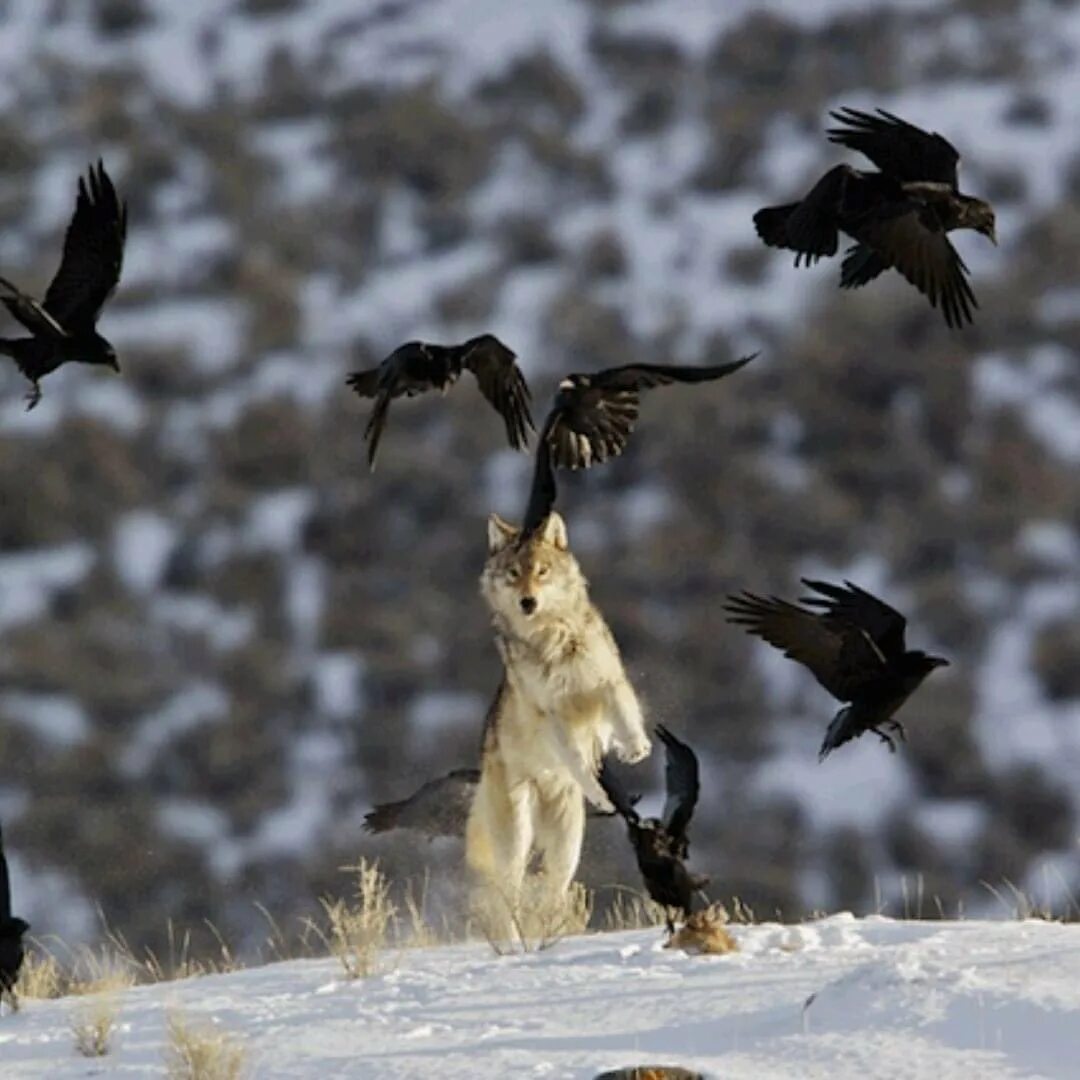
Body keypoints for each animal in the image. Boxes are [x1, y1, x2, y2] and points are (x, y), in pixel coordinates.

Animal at [464, 509, 648, 924]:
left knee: (555, 887)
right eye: (514, 573)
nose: (527, 602)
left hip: (567, 842)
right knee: (506, 897)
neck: (556, 638)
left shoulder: (607, 681)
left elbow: (626, 712)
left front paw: (636, 748)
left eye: (542, 571)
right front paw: (600, 791)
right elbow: (579, 759)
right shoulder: (552, 716)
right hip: (517, 835)